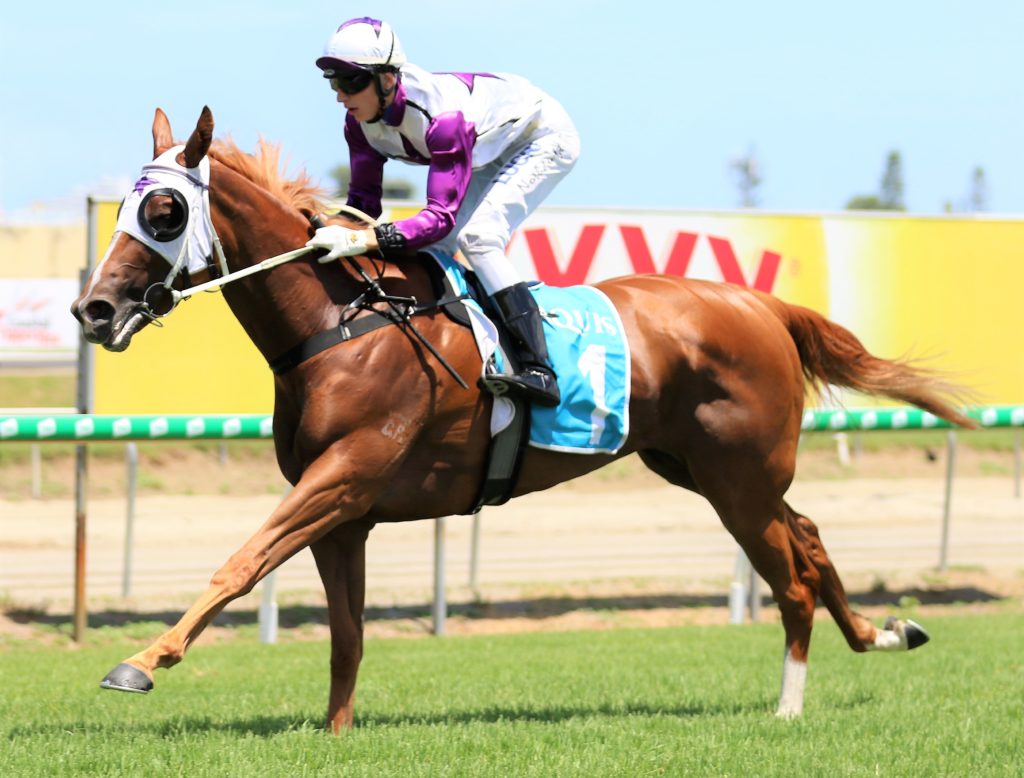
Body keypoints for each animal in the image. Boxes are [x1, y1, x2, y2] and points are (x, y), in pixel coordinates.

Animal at [72, 107, 975, 733]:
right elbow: (345, 631)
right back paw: (885, 633)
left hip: (737, 479)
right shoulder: (344, 513)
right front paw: (335, 732)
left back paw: (787, 707)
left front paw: (142, 661)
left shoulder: (344, 477)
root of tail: (763, 305)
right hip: (704, 467)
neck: (341, 321)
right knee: (811, 537)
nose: (93, 309)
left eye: (163, 211)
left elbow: (241, 563)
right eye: (120, 210)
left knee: (788, 576)